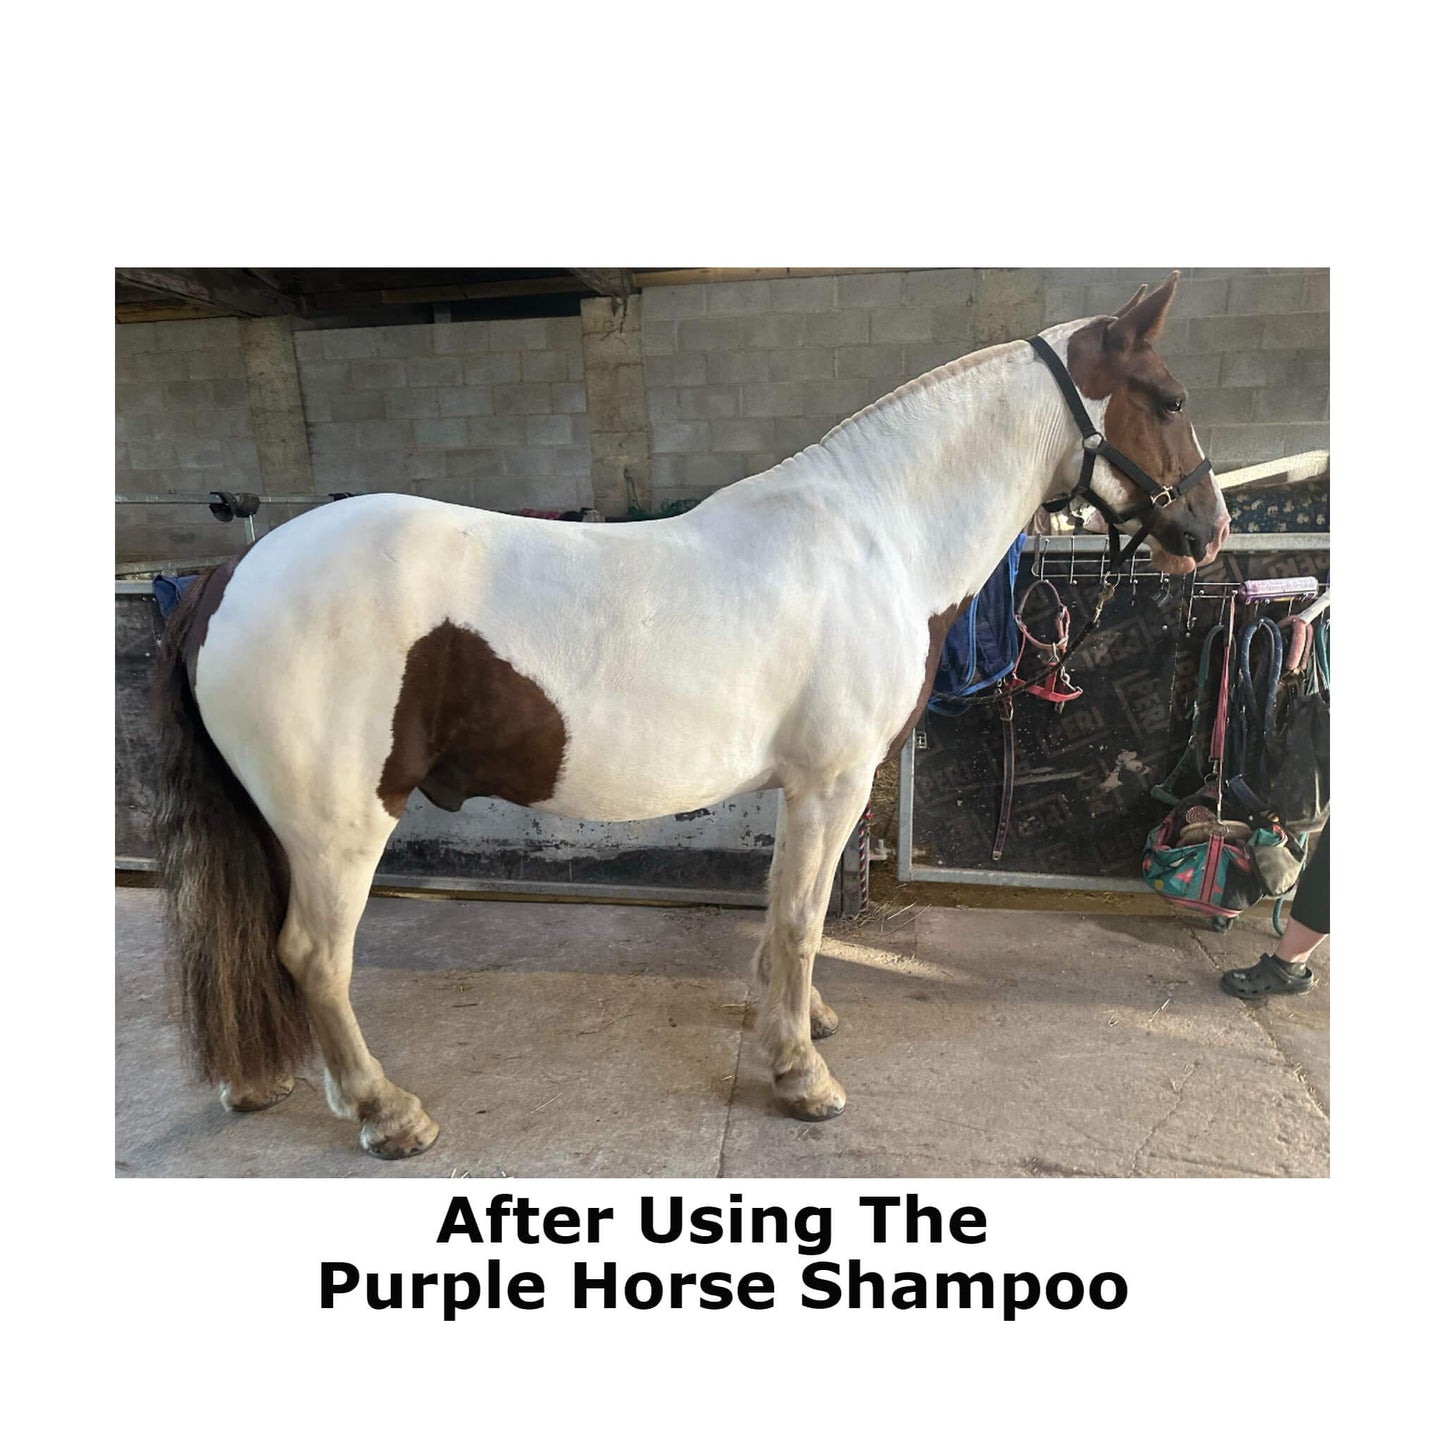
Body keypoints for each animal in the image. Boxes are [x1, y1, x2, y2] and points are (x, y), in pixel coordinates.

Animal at [152, 272, 1229, 1160]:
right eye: (1169, 399)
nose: (1209, 531)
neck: (875, 539)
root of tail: (227, 577)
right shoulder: (831, 780)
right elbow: (800, 917)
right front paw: (801, 1075)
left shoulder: (803, 786)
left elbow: (785, 909)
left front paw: (800, 1022)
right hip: (339, 825)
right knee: (312, 955)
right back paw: (386, 1111)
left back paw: (271, 1082)